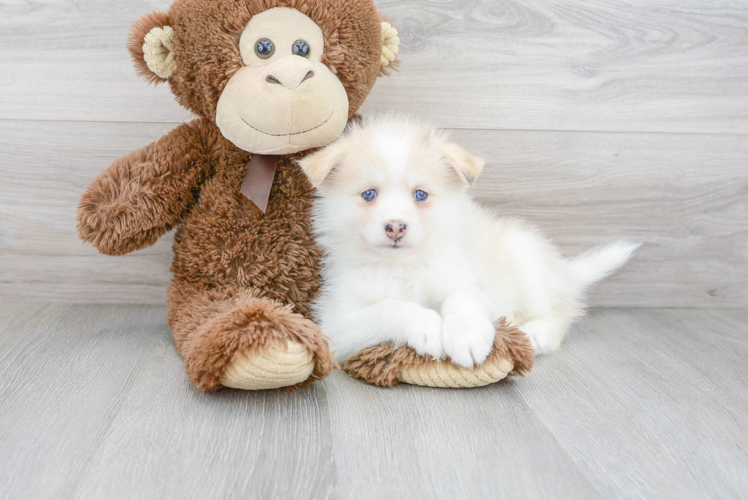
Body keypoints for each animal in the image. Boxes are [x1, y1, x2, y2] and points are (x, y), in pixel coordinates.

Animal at [298, 116, 636, 368]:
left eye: (420, 194)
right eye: (369, 194)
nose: (395, 227)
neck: (405, 266)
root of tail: (563, 272)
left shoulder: (472, 281)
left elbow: (462, 298)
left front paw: (467, 336)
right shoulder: (337, 323)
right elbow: (390, 307)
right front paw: (426, 326)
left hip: (525, 257)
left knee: (564, 311)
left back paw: (537, 333)